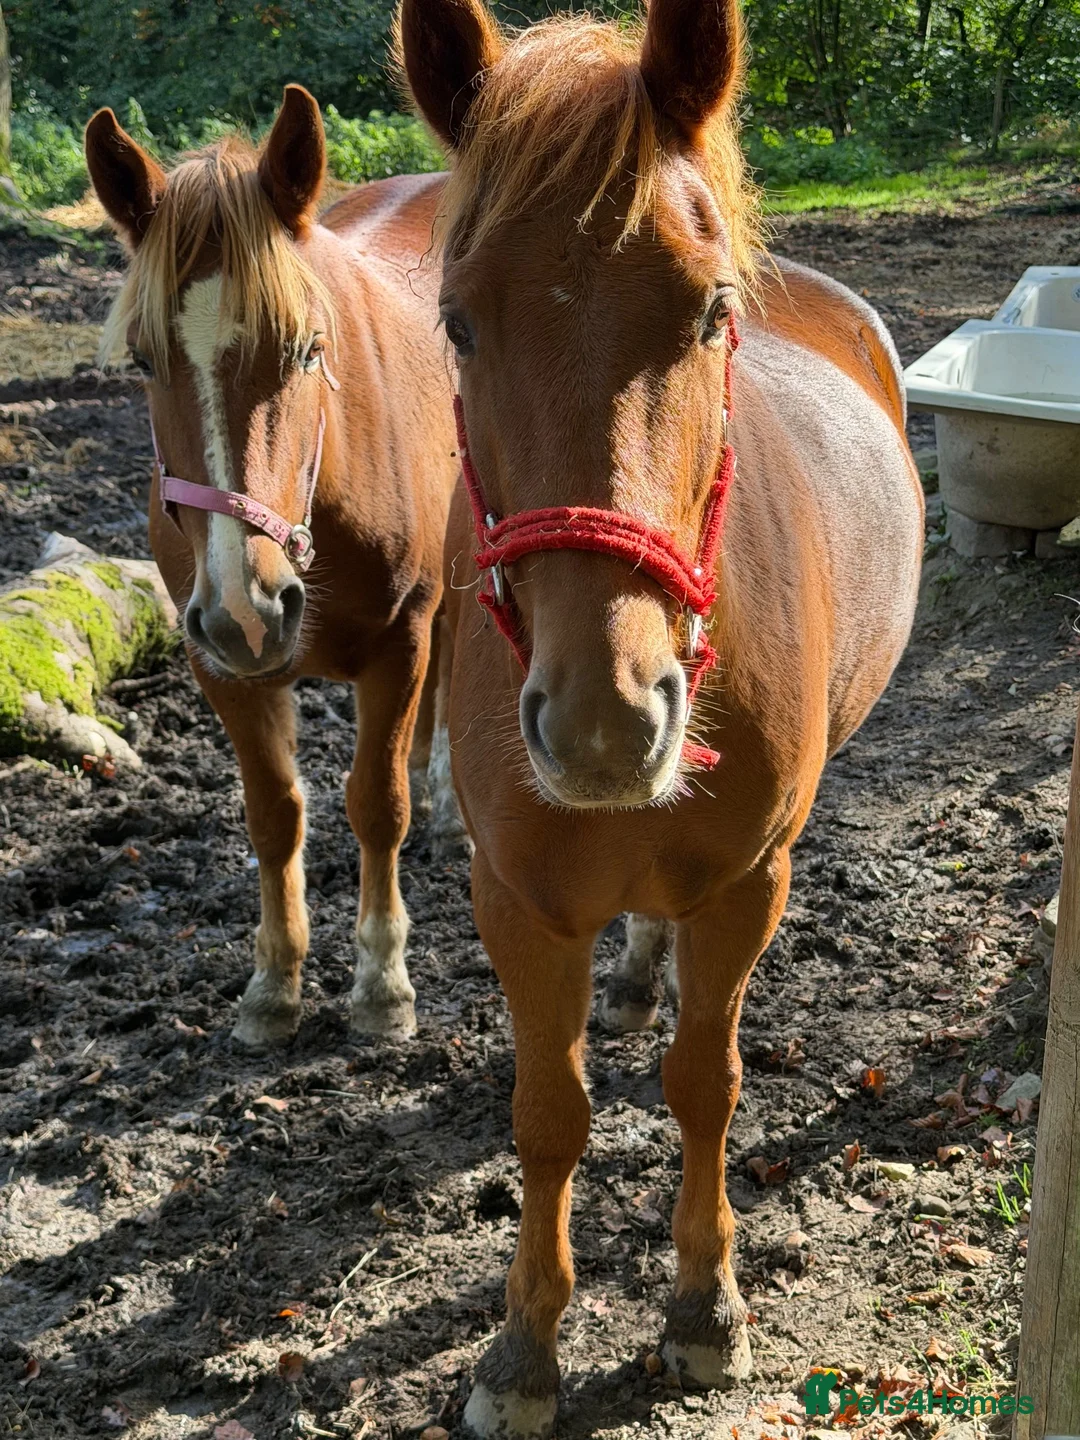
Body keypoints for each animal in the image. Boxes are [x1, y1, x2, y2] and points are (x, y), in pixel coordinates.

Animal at [84, 87, 460, 1049]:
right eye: (144, 359)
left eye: (307, 348)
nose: (250, 609)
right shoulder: (220, 665)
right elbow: (275, 814)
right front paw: (274, 982)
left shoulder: (398, 642)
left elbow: (376, 803)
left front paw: (382, 983)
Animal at [398, 0, 923, 1433]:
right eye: (458, 322)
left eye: (709, 312)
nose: (602, 718)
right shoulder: (517, 899)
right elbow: (548, 1113)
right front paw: (524, 1346)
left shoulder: (748, 881)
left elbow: (704, 1081)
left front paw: (702, 1307)